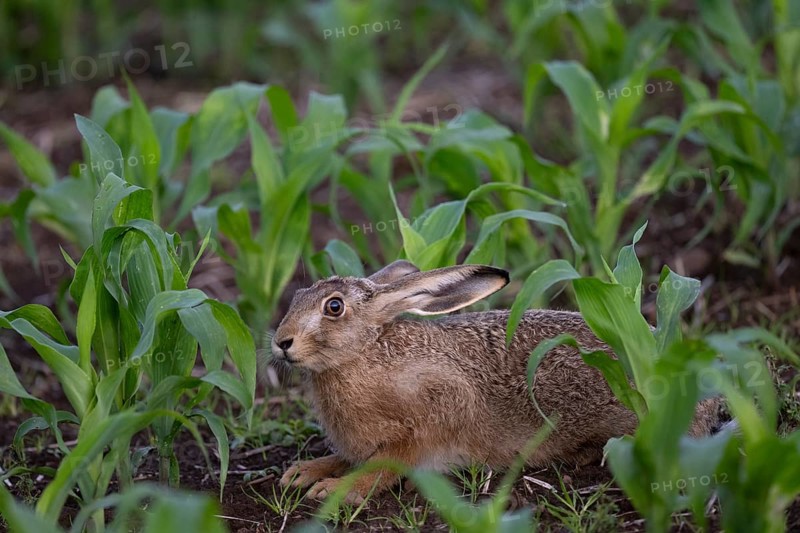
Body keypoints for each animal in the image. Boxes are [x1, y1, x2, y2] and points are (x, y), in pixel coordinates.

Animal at [271, 260, 721, 504]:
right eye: (297, 296)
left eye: (334, 308)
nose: (281, 342)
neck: (364, 354)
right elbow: (349, 456)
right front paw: (303, 472)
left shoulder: (434, 415)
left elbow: (384, 465)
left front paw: (332, 490)